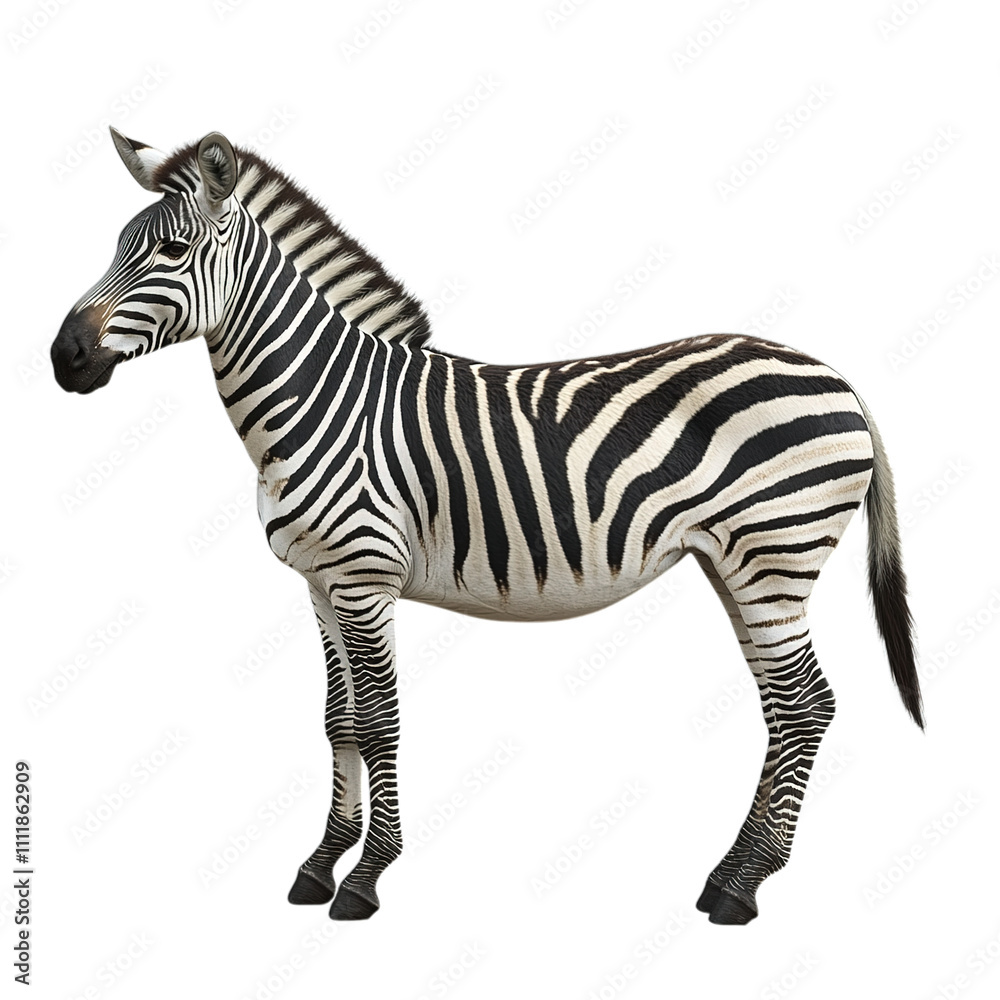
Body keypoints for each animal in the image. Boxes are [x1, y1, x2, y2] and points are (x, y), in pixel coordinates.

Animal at [51, 128, 924, 925]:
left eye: (171, 250)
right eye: (117, 246)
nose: (65, 357)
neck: (322, 398)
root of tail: (834, 374)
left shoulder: (365, 578)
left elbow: (379, 721)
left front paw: (366, 878)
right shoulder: (319, 585)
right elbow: (337, 722)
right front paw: (319, 865)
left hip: (775, 556)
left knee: (807, 706)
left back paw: (743, 887)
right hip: (739, 564)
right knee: (784, 706)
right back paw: (731, 873)